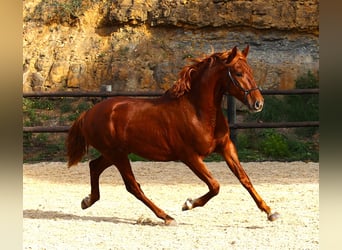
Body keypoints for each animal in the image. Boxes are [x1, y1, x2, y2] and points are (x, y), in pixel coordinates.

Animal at [66, 45, 278, 225]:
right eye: (238, 73)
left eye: (251, 72)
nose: (258, 103)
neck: (197, 111)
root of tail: (88, 114)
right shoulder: (190, 156)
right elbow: (215, 185)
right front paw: (188, 203)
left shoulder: (226, 147)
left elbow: (244, 179)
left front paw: (270, 212)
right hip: (118, 155)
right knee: (133, 186)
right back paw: (166, 217)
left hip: (115, 153)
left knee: (95, 166)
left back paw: (87, 201)